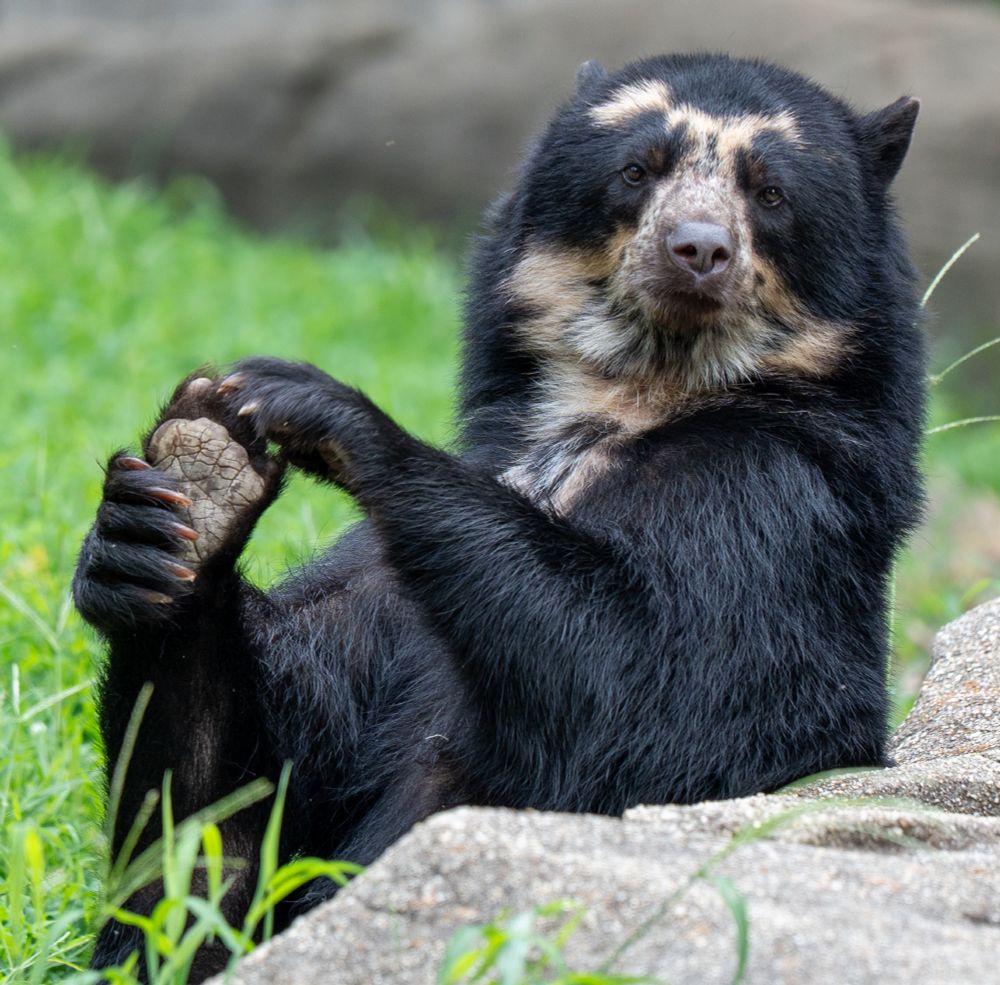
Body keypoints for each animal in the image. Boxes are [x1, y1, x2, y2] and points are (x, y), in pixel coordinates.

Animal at [73, 52, 925, 981]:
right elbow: (232, 811)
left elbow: (633, 671)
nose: (698, 249)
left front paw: (307, 400)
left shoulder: (776, 506)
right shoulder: (381, 589)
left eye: (771, 192)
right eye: (637, 169)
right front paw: (186, 492)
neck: (629, 402)